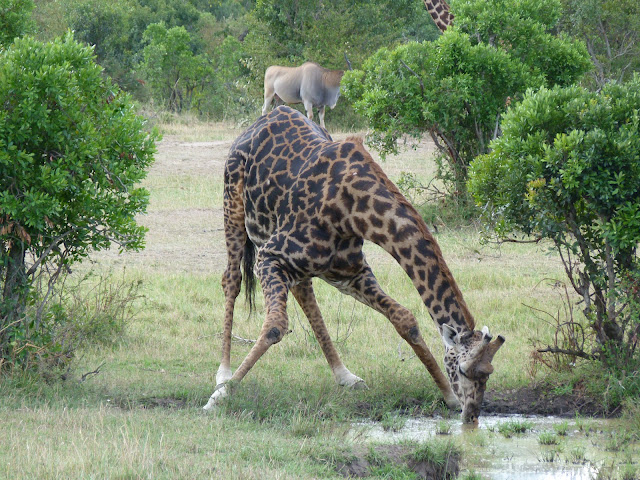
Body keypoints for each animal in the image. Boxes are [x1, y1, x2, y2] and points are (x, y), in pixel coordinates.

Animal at [205, 106, 504, 424]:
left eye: (488, 374)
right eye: (463, 370)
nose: (471, 416)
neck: (352, 211)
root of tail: (261, 120)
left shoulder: (351, 273)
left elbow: (405, 319)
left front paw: (448, 396)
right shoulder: (270, 256)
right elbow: (275, 326)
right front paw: (219, 397)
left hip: (306, 265)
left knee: (304, 291)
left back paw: (345, 376)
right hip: (233, 207)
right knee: (231, 279)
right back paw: (222, 374)